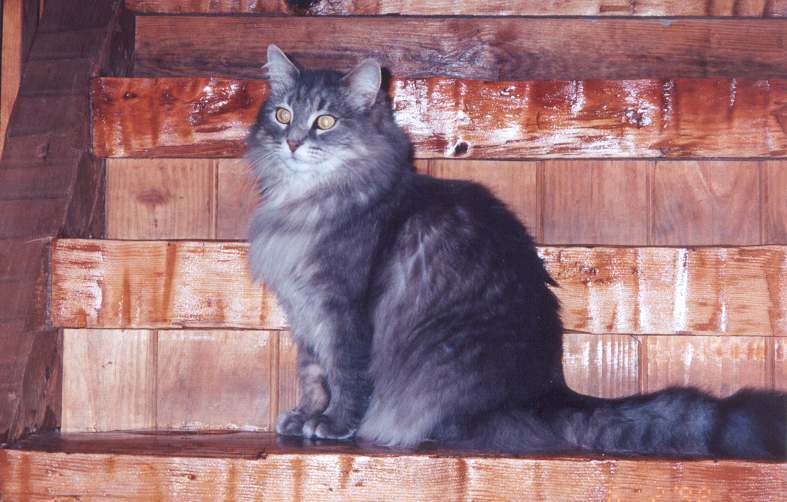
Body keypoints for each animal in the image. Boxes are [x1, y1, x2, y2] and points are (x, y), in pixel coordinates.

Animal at [246, 45, 787, 460]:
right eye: (283, 115)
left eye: (326, 121)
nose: (293, 142)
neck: (306, 204)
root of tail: (549, 393)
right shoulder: (307, 313)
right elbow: (314, 375)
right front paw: (306, 416)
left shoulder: (346, 310)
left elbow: (347, 377)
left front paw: (334, 424)